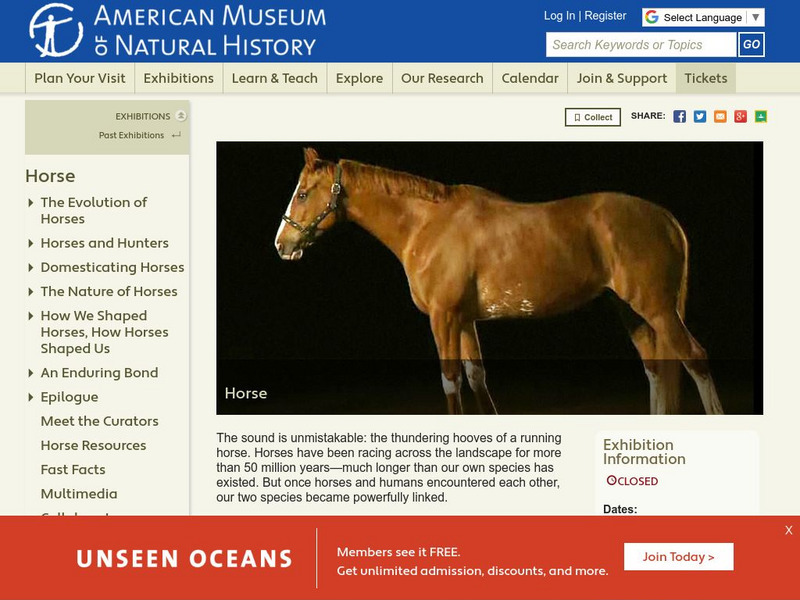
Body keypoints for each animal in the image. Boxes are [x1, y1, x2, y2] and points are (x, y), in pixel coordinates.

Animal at [273, 147, 724, 416]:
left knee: (695, 358)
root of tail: (666, 218)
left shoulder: (443, 319)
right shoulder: (464, 320)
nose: (282, 244)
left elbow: (451, 382)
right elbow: (477, 378)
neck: (428, 225)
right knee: (657, 370)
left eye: (302, 193)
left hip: (658, 309)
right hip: (631, 311)